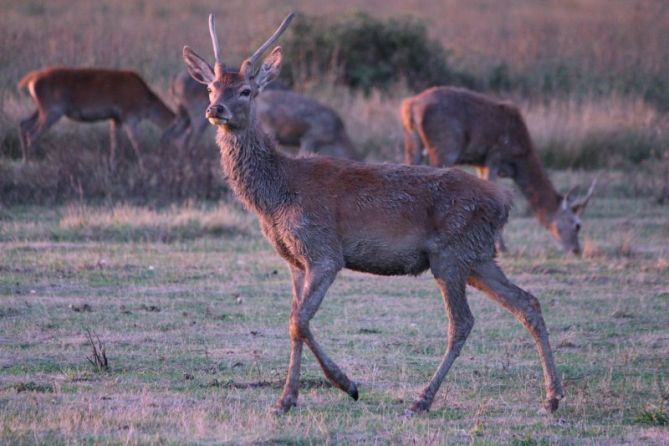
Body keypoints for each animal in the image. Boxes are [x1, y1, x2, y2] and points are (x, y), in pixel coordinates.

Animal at [18, 66, 175, 169]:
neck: (147, 105)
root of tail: (31, 79)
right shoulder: (129, 115)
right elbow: (135, 141)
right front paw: (143, 165)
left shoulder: (116, 118)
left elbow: (114, 142)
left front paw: (112, 165)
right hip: (52, 110)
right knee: (32, 133)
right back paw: (32, 162)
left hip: (41, 108)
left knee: (24, 124)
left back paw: (25, 161)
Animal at [162, 69, 360, 160]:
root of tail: (172, 80)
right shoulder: (309, 136)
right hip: (196, 113)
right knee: (190, 137)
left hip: (182, 112)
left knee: (172, 132)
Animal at [183, 13, 564, 414]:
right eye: (211, 88)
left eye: (246, 91)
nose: (215, 110)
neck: (276, 196)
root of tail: (503, 201)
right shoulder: (293, 260)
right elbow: (295, 322)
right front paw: (287, 399)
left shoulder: (324, 251)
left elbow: (299, 321)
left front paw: (346, 384)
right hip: (478, 257)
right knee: (527, 302)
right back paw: (552, 396)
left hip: (451, 253)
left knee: (462, 322)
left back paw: (422, 398)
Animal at [402, 87, 596, 254]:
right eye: (577, 225)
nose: (577, 250)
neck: (519, 159)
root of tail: (410, 106)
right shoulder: (494, 156)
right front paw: (500, 247)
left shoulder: (480, 163)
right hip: (445, 146)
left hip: (413, 144)